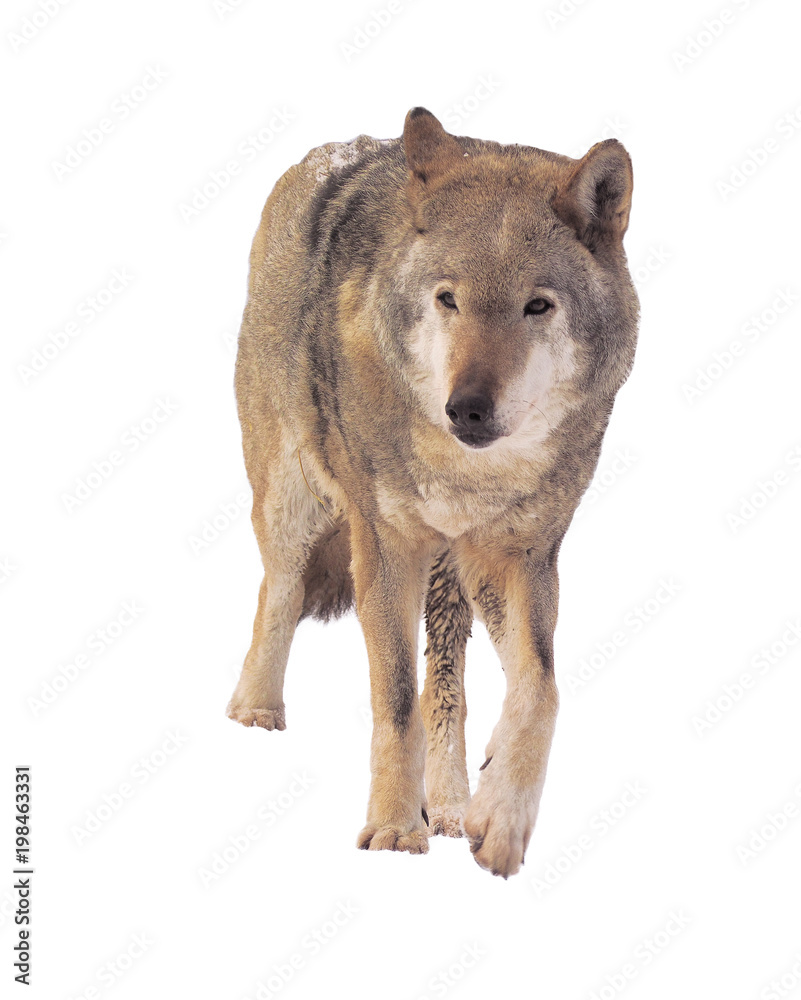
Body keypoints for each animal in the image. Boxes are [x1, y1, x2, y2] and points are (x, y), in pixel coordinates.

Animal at [227, 107, 638, 877]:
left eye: (537, 305)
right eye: (448, 299)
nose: (467, 410)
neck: (473, 476)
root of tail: (330, 154)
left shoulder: (518, 559)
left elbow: (539, 691)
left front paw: (497, 820)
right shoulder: (385, 549)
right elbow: (395, 702)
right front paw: (393, 829)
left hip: (453, 581)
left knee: (447, 685)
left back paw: (447, 806)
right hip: (298, 502)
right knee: (279, 588)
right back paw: (255, 711)